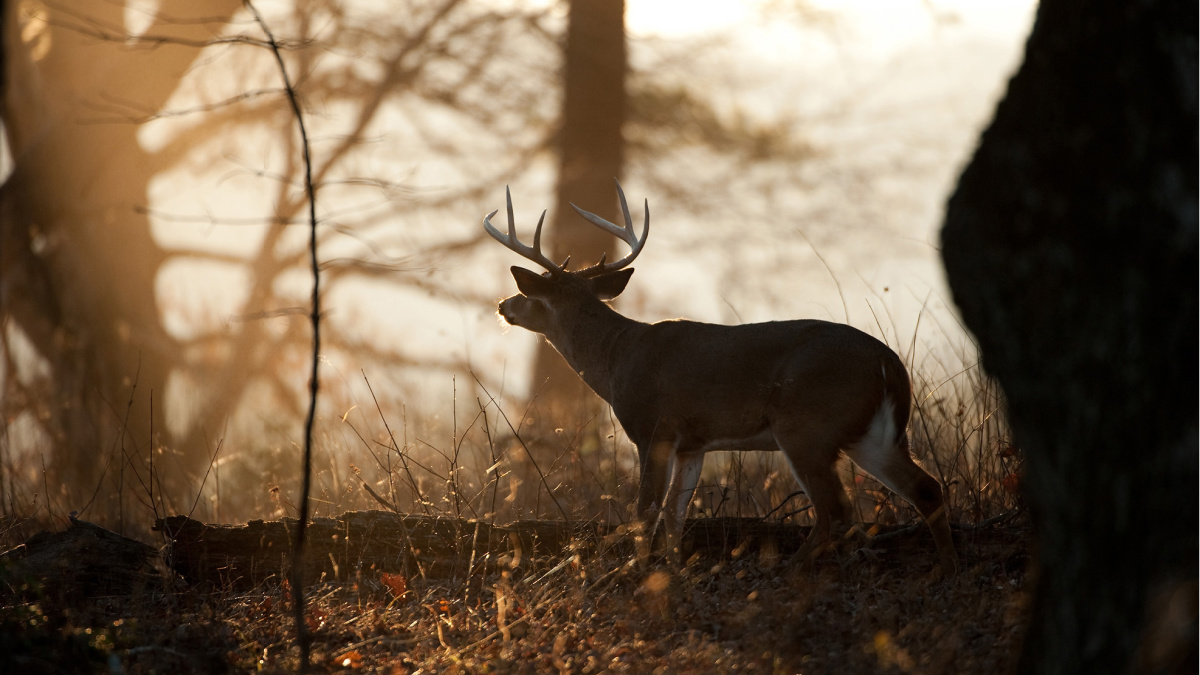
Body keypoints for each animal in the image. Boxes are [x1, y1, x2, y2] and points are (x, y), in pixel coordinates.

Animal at [482, 180, 960, 571]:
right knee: (927, 488)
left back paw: (788, 571)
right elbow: (676, 515)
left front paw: (637, 574)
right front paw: (673, 571)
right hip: (874, 435)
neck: (616, 358)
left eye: (534, 294)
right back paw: (946, 570)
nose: (504, 305)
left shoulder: (653, 427)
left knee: (837, 509)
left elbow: (646, 511)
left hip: (806, 425)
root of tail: (890, 363)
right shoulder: (694, 443)